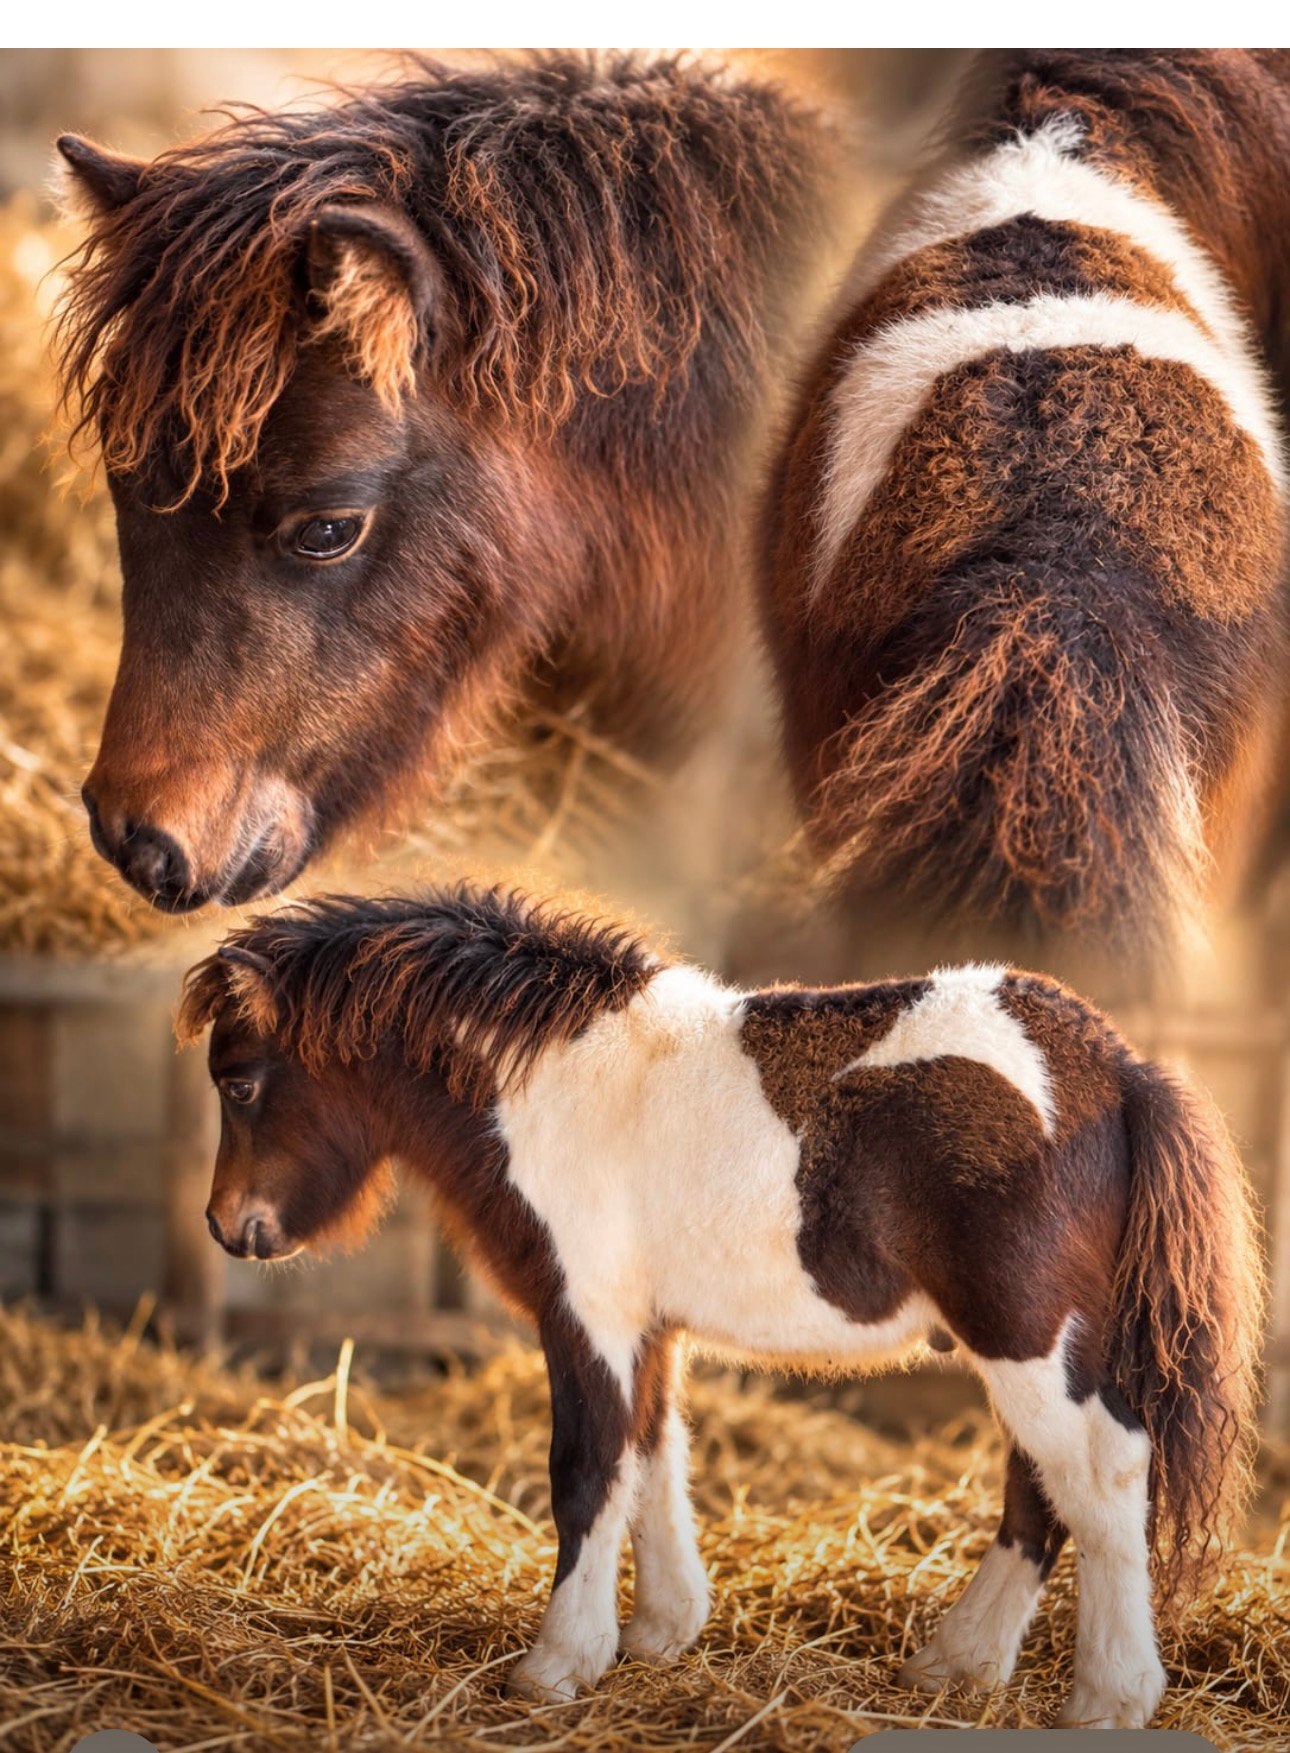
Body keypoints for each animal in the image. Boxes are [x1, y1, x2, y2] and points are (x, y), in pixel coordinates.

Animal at [177, 881, 1264, 1729]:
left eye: (240, 1081)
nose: (232, 1228)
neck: (549, 1082)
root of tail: (1122, 1072)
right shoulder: (647, 1326)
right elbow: (655, 1453)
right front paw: (660, 1630)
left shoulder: (588, 1313)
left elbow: (588, 1468)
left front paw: (557, 1663)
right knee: (1041, 1487)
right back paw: (959, 1660)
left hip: (1027, 1336)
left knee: (1101, 1477)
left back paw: (1109, 1697)